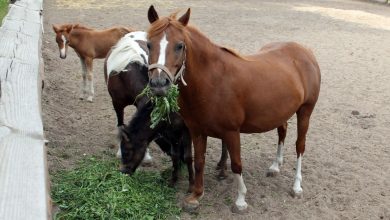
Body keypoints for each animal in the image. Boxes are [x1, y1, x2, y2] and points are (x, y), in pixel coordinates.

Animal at [145, 6, 320, 213]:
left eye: (180, 46)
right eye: (148, 45)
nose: (158, 84)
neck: (213, 81)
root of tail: (305, 52)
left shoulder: (231, 132)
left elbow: (236, 165)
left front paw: (241, 200)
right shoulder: (197, 131)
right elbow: (199, 161)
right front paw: (196, 195)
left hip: (305, 111)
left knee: (300, 146)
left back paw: (296, 186)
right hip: (281, 113)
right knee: (282, 132)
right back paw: (275, 166)